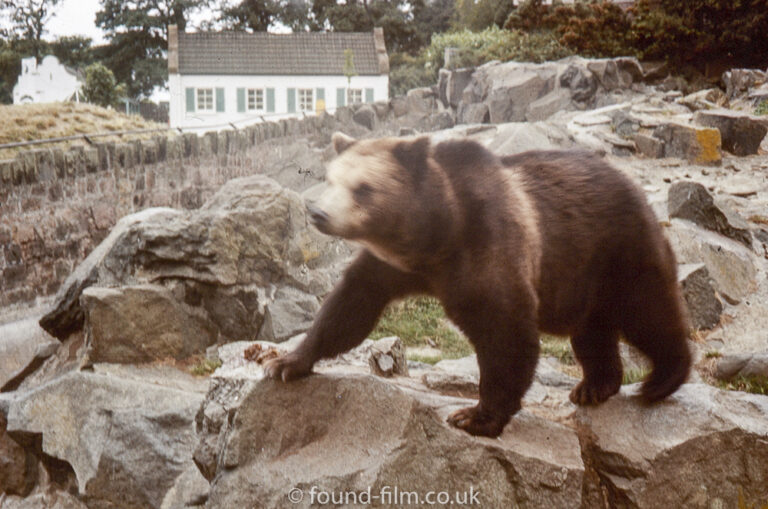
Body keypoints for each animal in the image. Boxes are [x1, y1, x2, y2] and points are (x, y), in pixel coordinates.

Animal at [264, 131, 688, 436]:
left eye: (363, 188)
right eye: (331, 179)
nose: (319, 213)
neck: (435, 237)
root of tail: (630, 183)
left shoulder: (489, 245)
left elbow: (505, 331)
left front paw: (475, 416)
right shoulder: (389, 266)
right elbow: (349, 306)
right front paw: (285, 362)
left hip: (616, 248)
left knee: (647, 311)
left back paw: (661, 379)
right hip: (582, 275)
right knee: (593, 330)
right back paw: (595, 386)